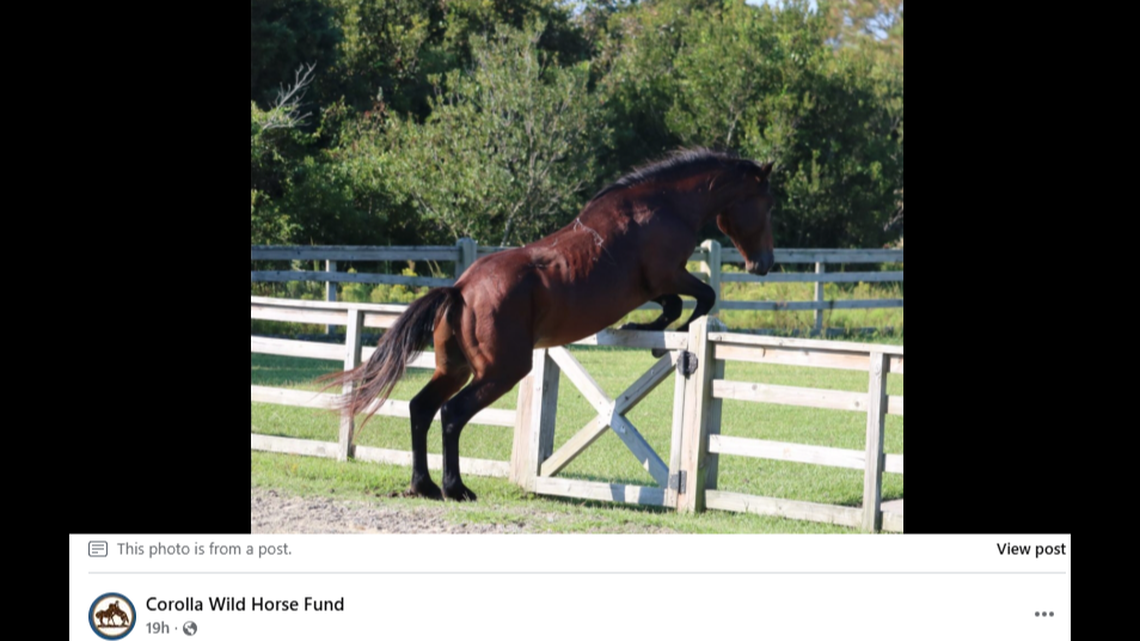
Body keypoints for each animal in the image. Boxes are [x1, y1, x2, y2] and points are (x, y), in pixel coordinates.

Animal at [331, 148, 775, 501]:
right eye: (765, 204)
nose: (764, 264)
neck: (664, 206)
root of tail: (460, 290)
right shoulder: (668, 275)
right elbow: (702, 298)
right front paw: (672, 335)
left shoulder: (659, 285)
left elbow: (676, 305)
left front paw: (647, 328)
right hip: (501, 371)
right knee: (452, 414)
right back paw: (455, 489)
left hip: (453, 369)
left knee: (421, 408)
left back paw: (422, 485)